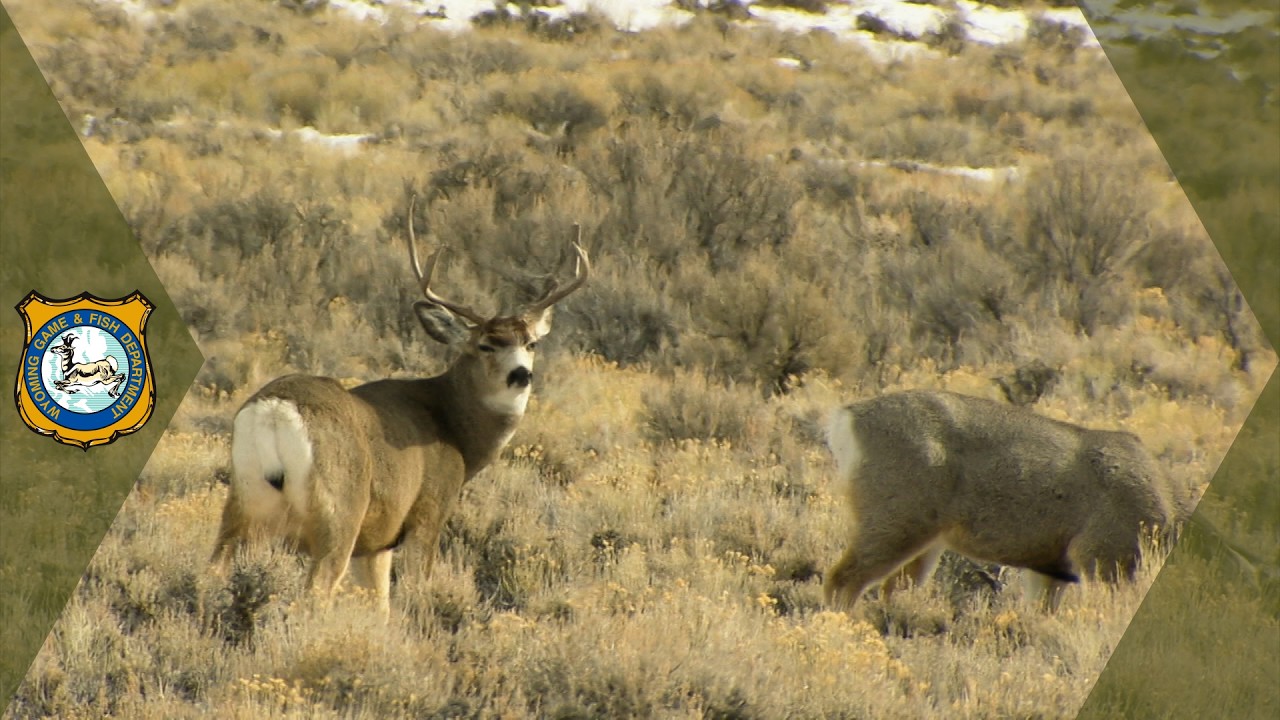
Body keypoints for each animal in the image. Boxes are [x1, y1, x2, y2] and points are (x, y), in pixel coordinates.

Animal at [210, 200, 589, 615]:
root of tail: (276, 411)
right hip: (340, 509)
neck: (454, 427)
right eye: (485, 345)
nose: (521, 374)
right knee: (317, 589)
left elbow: (380, 607)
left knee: (212, 571)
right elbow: (413, 592)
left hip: (242, 503)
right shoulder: (429, 510)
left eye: (531, 343)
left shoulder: (377, 542)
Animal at [823, 390, 1185, 612]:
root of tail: (846, 418)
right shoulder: (1106, 554)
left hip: (924, 538)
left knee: (890, 588)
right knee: (843, 579)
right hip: (898, 518)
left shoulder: (1053, 569)